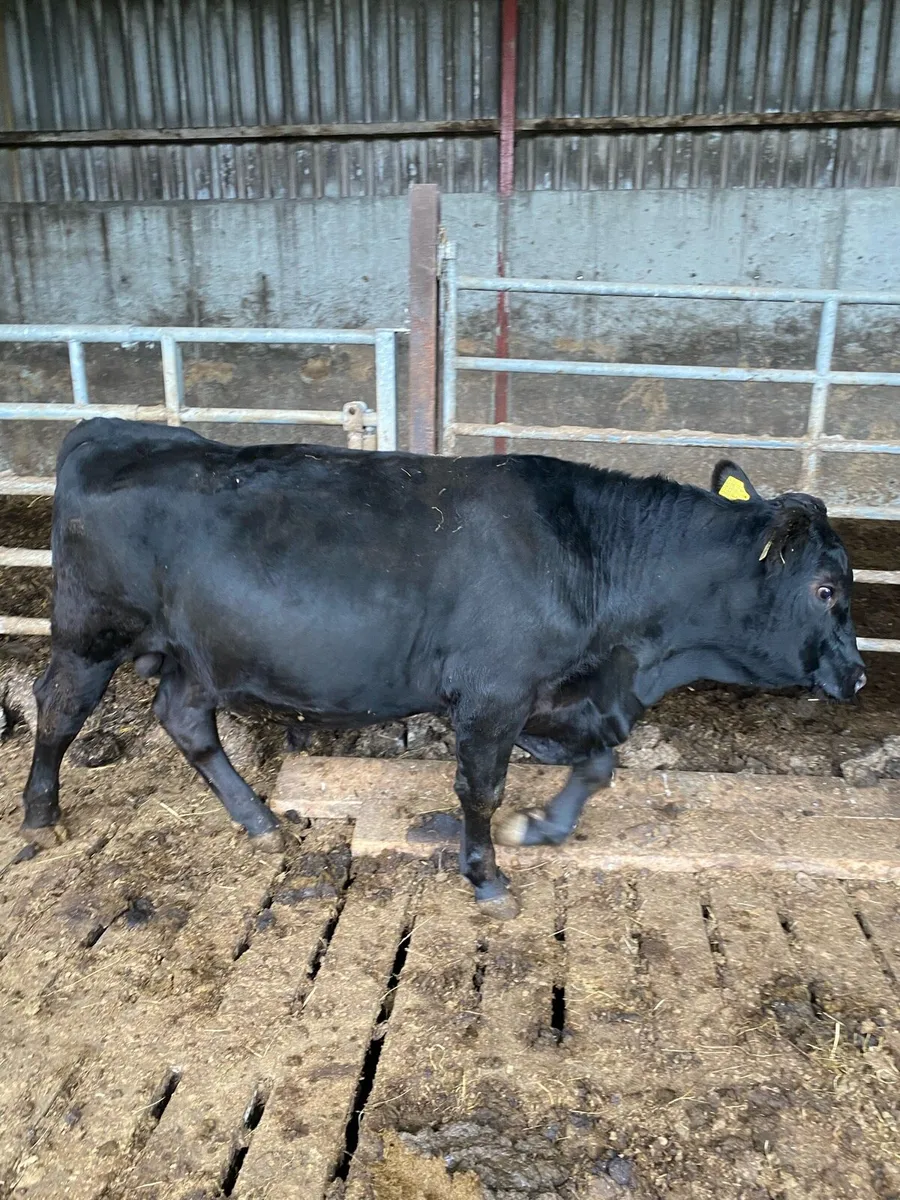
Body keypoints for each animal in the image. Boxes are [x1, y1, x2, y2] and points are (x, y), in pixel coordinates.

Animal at [21, 418, 865, 920]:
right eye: (825, 589)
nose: (858, 676)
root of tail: (109, 429)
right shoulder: (495, 695)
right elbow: (480, 791)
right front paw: (487, 877)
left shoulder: (558, 697)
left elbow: (599, 767)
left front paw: (542, 827)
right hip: (91, 631)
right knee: (58, 706)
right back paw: (40, 817)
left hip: (202, 651)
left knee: (186, 720)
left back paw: (258, 820)